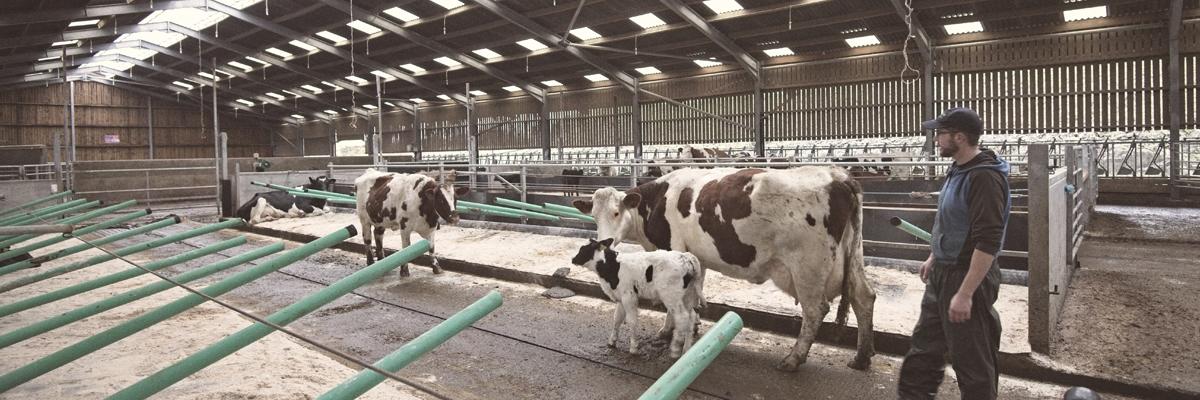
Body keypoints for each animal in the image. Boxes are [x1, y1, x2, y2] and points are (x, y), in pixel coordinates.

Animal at [568, 237, 700, 355]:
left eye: (584, 249)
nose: (573, 259)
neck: (614, 267)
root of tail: (686, 257)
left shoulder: (629, 296)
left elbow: (631, 320)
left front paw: (633, 347)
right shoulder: (620, 298)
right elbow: (617, 319)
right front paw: (612, 341)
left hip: (671, 296)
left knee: (682, 317)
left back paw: (676, 348)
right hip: (687, 295)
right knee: (691, 317)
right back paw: (686, 350)